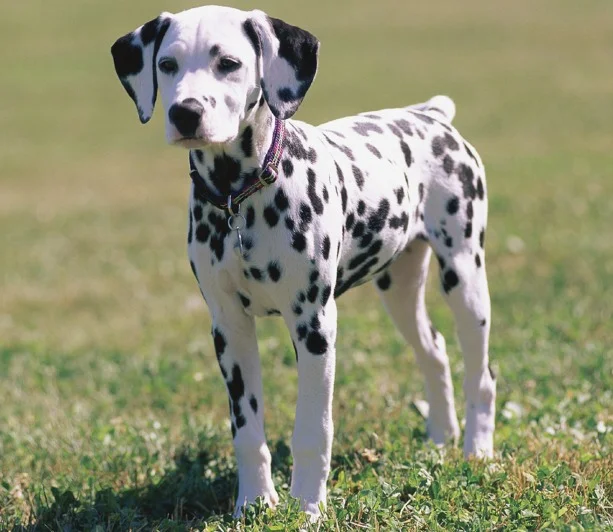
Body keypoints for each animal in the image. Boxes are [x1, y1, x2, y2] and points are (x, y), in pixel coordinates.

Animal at [109, 4, 492, 520]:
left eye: (229, 63)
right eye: (167, 65)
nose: (185, 112)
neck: (242, 196)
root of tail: (430, 115)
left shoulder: (315, 326)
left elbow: (313, 430)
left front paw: (309, 507)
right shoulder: (229, 330)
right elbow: (247, 431)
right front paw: (254, 503)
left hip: (465, 278)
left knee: (482, 375)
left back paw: (478, 451)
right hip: (399, 288)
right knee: (433, 350)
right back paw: (441, 439)